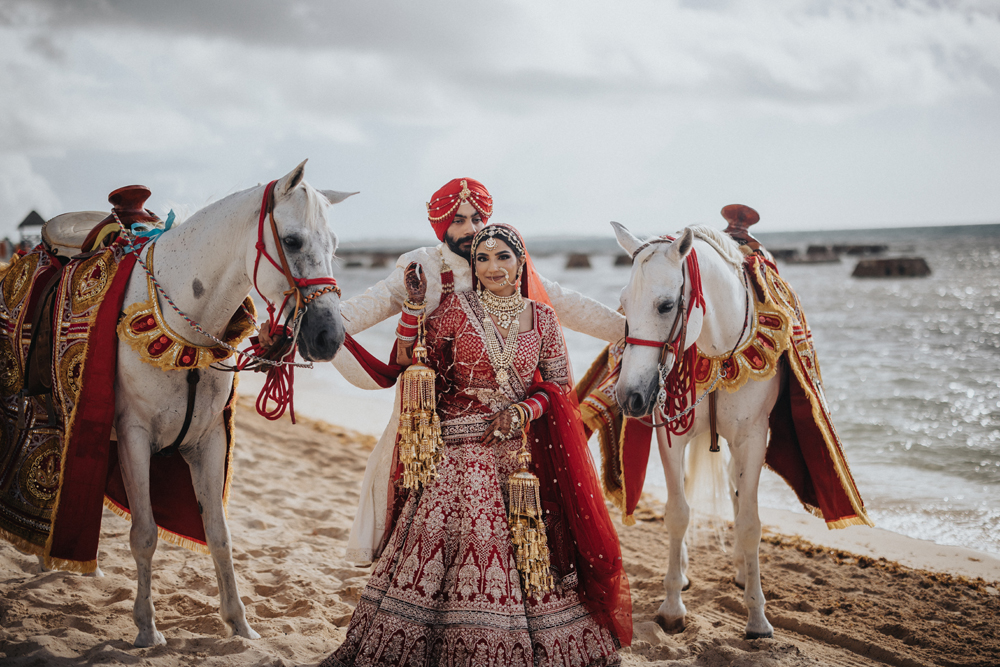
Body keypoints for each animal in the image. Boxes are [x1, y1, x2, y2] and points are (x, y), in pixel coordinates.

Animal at [111, 162, 348, 648]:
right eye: (291, 241)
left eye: (335, 246)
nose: (330, 337)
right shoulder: (132, 438)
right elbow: (144, 534)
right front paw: (146, 627)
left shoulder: (208, 442)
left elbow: (220, 536)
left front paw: (239, 623)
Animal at [608, 222, 780, 640]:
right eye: (623, 302)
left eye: (666, 305)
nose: (629, 396)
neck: (720, 351)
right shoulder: (671, 436)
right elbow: (677, 513)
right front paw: (671, 607)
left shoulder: (754, 439)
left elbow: (749, 522)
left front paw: (757, 617)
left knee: (736, 493)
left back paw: (741, 571)